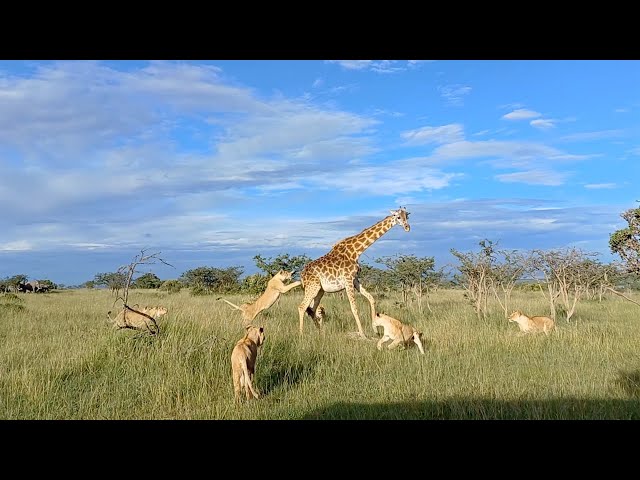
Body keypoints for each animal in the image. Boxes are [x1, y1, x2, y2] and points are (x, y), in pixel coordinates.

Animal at [298, 207, 411, 338]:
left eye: (407, 216)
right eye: (398, 217)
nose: (407, 227)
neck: (356, 251)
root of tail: (302, 275)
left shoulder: (355, 280)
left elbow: (371, 298)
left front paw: (375, 329)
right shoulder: (347, 280)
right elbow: (354, 308)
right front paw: (362, 333)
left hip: (320, 290)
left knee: (312, 310)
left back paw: (320, 332)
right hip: (313, 287)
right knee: (302, 307)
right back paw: (301, 334)